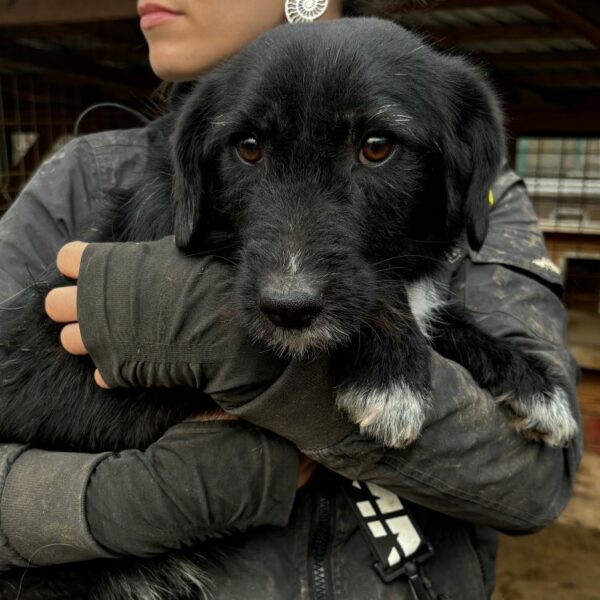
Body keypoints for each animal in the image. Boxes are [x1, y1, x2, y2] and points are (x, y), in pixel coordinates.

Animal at [0, 16, 576, 596]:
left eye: (377, 146)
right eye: (248, 148)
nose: (286, 307)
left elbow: (438, 309)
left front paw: (528, 376)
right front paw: (391, 368)